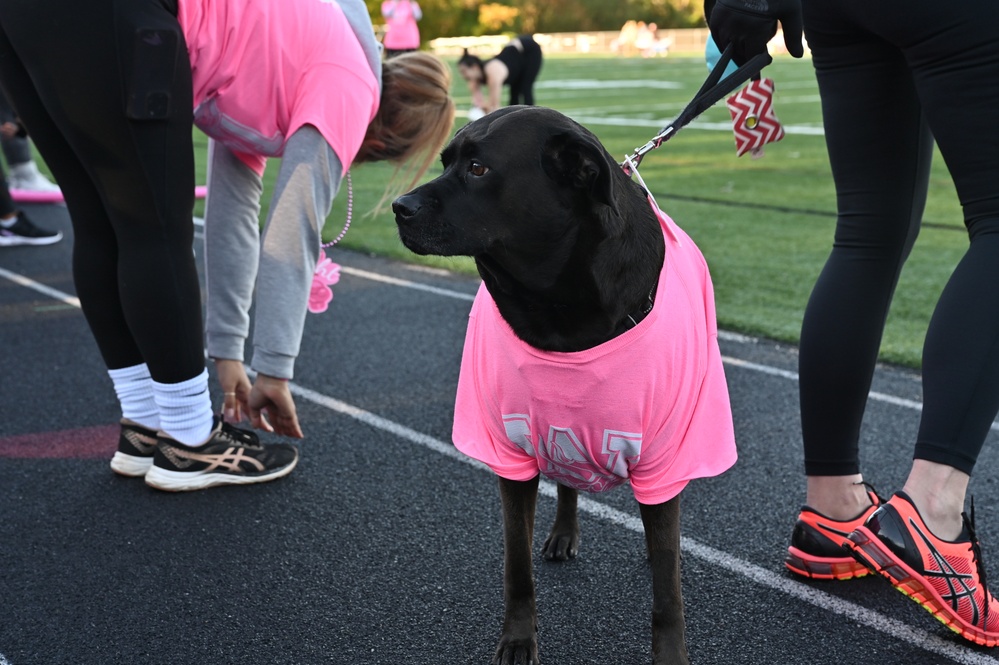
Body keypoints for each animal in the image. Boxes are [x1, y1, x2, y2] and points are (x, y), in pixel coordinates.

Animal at [394, 106, 740, 660]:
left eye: (478, 169)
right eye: (446, 161)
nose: (399, 207)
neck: (556, 308)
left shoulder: (666, 459)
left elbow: (668, 591)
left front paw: (670, 653)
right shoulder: (511, 457)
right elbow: (516, 565)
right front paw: (518, 637)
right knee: (568, 482)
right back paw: (563, 531)